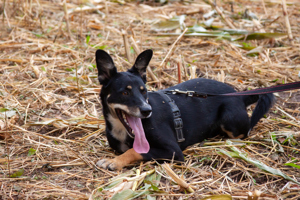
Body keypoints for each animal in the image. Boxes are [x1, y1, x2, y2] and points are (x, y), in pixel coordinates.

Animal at [95, 49, 274, 170]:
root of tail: (239, 95)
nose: (147, 110)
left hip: (229, 120)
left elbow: (135, 151)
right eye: (125, 92)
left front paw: (113, 161)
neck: (121, 130)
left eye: (143, 91)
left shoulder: (173, 151)